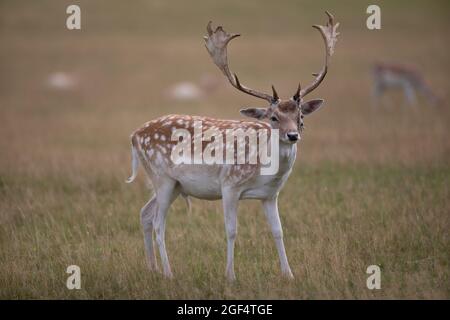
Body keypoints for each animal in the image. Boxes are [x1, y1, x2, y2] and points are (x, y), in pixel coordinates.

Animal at [125, 11, 340, 280]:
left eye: (301, 117)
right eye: (273, 117)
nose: (292, 135)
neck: (263, 169)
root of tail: (134, 135)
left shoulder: (271, 194)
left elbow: (278, 231)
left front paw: (289, 275)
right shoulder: (229, 185)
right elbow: (231, 230)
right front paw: (230, 276)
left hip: (173, 184)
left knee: (145, 213)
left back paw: (152, 268)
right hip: (161, 177)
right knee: (158, 223)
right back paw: (168, 273)